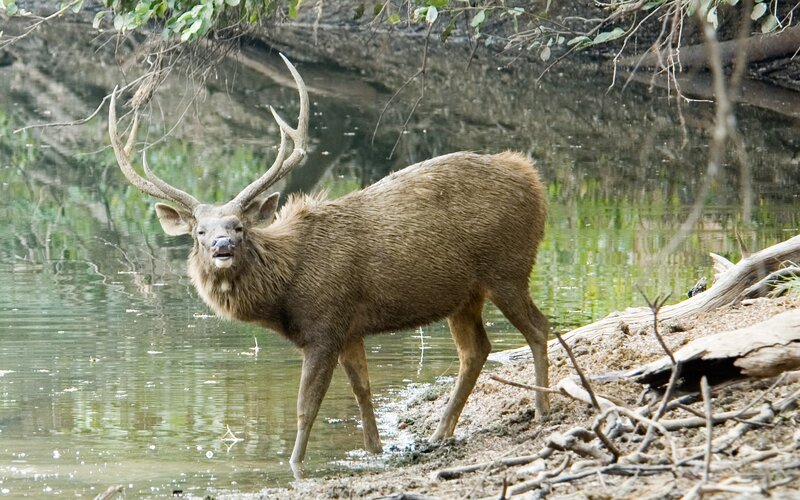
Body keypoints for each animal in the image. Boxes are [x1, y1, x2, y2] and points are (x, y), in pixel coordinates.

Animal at [108, 54, 550, 468]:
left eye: (239, 226)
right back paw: (441, 432)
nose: (221, 246)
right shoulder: (351, 328)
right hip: (464, 295)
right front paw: (375, 450)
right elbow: (363, 392)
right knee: (476, 350)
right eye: (199, 231)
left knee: (538, 327)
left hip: (509, 267)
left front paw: (294, 463)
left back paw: (542, 409)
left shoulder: (325, 325)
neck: (284, 292)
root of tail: (532, 177)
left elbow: (306, 407)